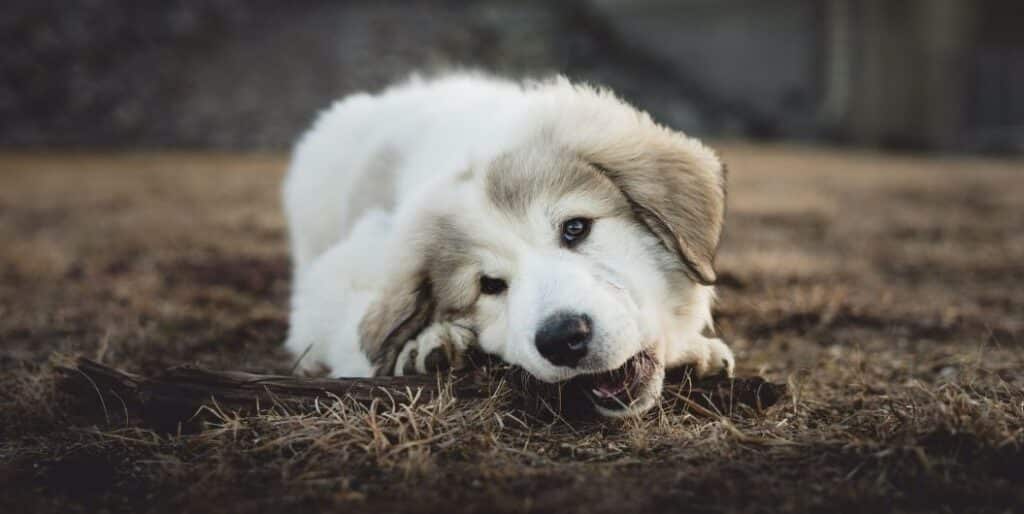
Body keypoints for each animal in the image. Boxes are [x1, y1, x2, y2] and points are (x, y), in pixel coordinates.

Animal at [280, 73, 733, 417]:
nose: (563, 338)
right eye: (489, 285)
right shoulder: (343, 271)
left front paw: (696, 350)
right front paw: (424, 345)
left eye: (575, 228)